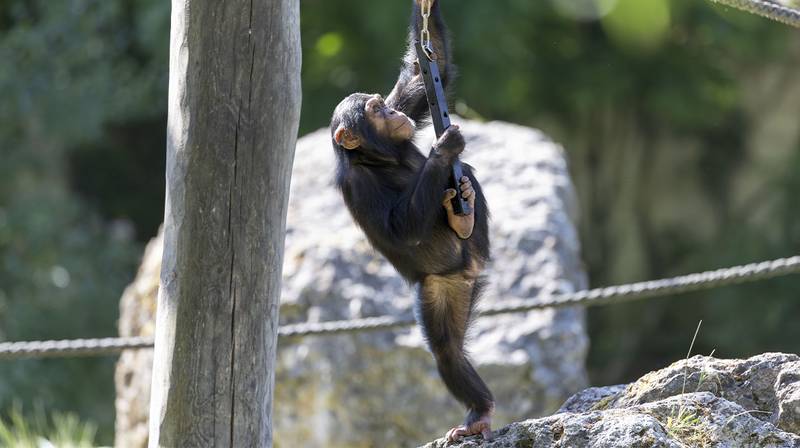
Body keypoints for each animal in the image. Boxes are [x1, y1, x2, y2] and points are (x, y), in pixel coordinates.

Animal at [329, 0, 494, 442]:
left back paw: (464, 213)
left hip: (467, 272)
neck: (379, 156)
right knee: (447, 351)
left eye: (382, 103)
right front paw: (444, 147)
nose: (388, 110)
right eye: (373, 110)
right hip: (441, 289)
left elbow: (428, 73)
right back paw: (479, 413)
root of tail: (471, 269)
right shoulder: (357, 186)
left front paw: (425, 8)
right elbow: (399, 229)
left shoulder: (408, 111)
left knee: (470, 174)